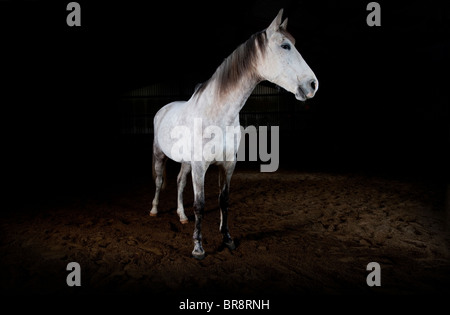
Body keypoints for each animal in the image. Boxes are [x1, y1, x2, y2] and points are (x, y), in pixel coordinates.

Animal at [150, 8, 316, 260]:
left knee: (179, 182)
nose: (313, 85)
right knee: (160, 181)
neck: (217, 114)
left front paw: (227, 239)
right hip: (160, 155)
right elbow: (199, 204)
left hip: (186, 162)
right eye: (285, 45)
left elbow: (224, 201)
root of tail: (163, 109)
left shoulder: (227, 164)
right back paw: (154, 210)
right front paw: (198, 248)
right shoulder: (200, 166)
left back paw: (182, 216)